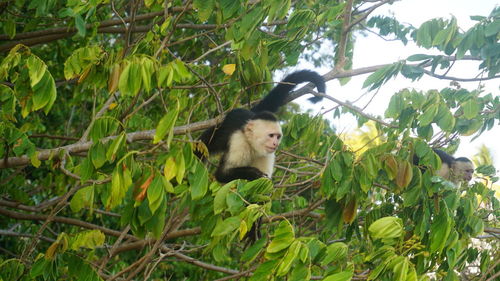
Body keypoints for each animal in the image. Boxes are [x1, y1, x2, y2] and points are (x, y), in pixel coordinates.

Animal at [197, 69, 326, 183]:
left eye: (278, 137)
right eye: (271, 135)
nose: (275, 144)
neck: (252, 144)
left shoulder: (267, 153)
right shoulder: (239, 142)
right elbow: (222, 174)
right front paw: (252, 173)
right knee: (203, 146)